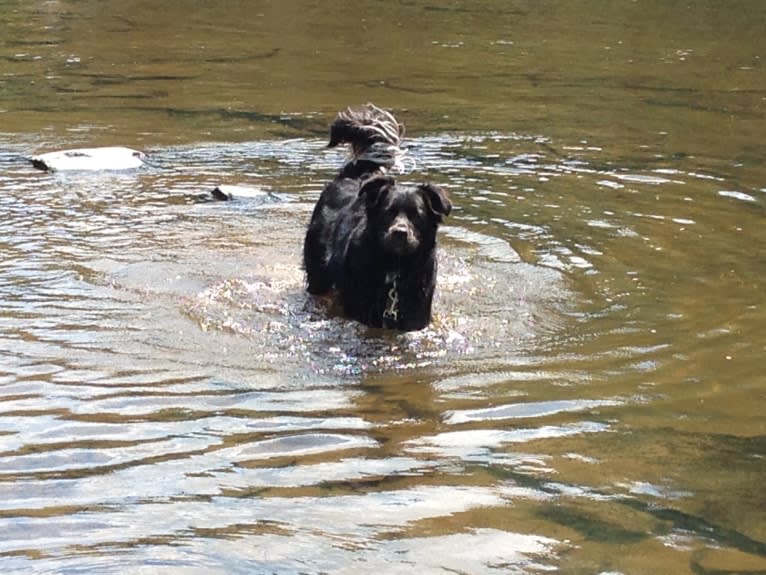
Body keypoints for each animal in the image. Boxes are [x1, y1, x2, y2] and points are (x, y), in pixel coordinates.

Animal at [304, 101, 452, 330]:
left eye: (417, 215)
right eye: (388, 212)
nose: (400, 232)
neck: (394, 269)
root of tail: (355, 175)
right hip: (317, 273)